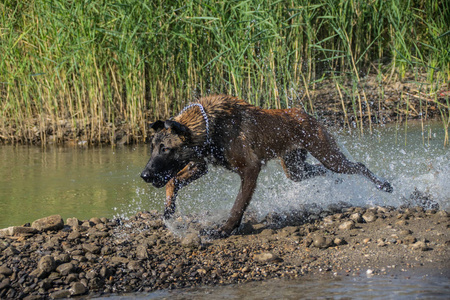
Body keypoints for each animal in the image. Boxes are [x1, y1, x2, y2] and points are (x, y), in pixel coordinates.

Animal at [142, 95, 392, 236]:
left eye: (165, 149)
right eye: (152, 147)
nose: (144, 175)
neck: (210, 127)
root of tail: (303, 113)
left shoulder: (250, 169)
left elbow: (238, 205)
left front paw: (224, 229)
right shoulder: (199, 166)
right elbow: (172, 182)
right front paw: (169, 209)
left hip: (329, 155)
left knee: (359, 166)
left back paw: (384, 185)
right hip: (295, 169)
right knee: (319, 171)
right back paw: (337, 181)